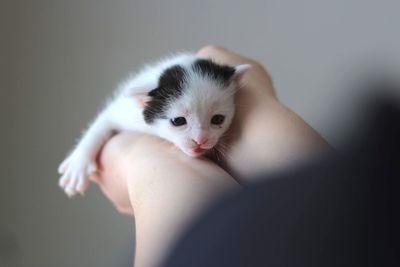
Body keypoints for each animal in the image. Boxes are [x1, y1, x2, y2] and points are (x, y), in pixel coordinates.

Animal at [57, 53, 248, 198]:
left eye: (218, 119)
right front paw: (78, 165)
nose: (200, 140)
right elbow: (101, 124)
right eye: (178, 121)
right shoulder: (124, 110)